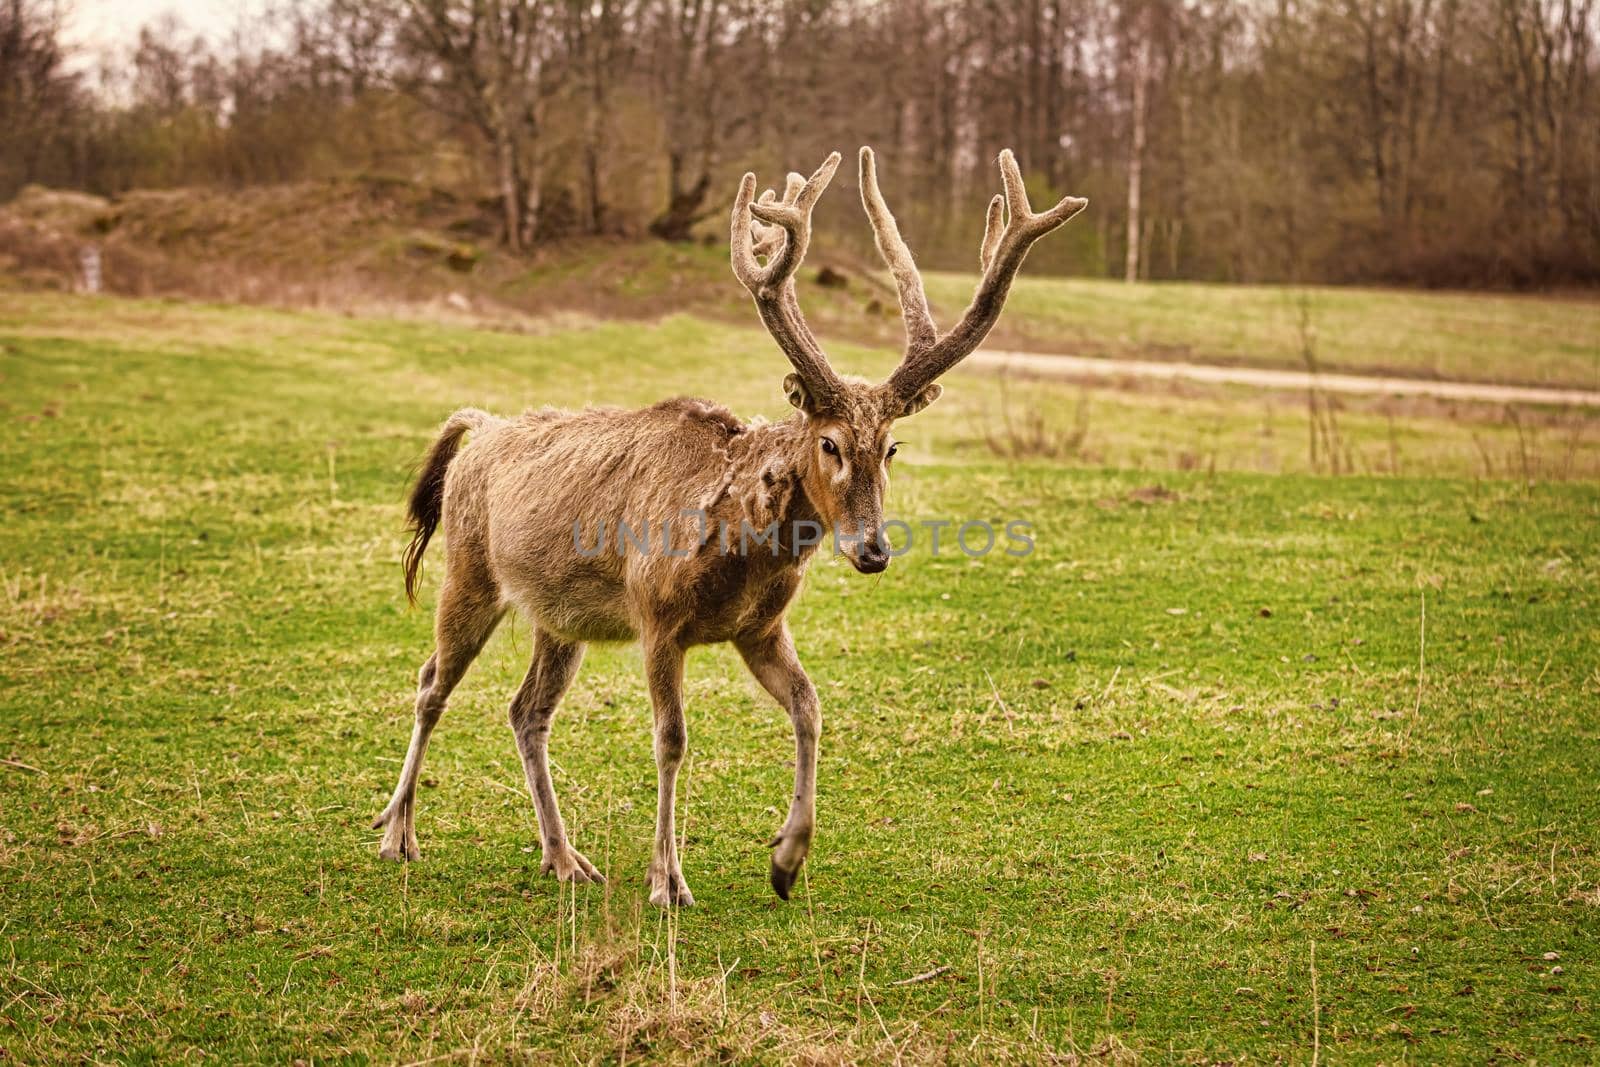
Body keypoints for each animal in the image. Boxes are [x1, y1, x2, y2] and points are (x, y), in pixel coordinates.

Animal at [371, 146, 1088, 908]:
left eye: (891, 446)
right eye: (830, 443)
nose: (874, 550)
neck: (738, 552)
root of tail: (478, 429)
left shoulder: (759, 628)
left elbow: (809, 706)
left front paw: (787, 858)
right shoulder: (657, 617)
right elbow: (672, 738)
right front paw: (668, 880)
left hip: (559, 618)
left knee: (525, 710)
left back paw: (564, 857)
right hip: (468, 572)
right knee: (431, 683)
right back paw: (397, 833)